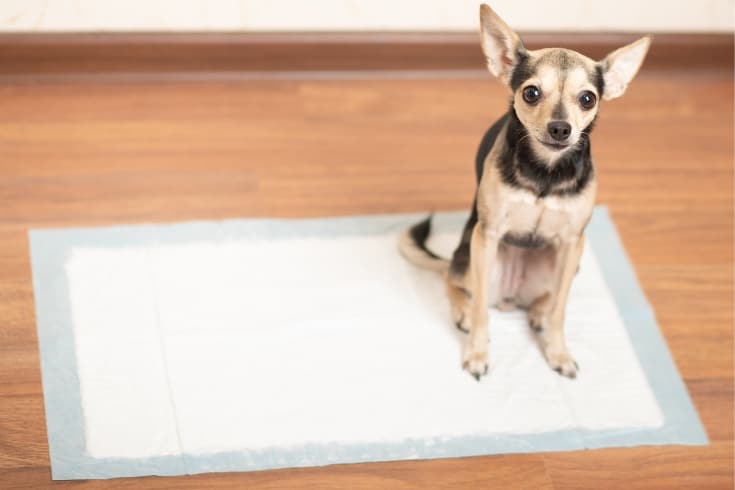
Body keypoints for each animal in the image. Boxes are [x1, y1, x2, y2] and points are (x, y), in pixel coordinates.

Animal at [402, 3, 648, 378]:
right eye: (531, 93)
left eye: (587, 99)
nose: (560, 128)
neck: (545, 171)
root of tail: (511, 297)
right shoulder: (487, 236)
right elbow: (480, 312)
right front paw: (477, 352)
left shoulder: (571, 242)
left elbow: (561, 308)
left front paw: (558, 352)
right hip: (471, 257)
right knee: (453, 281)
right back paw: (463, 311)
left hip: (569, 260)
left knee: (550, 296)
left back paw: (538, 312)